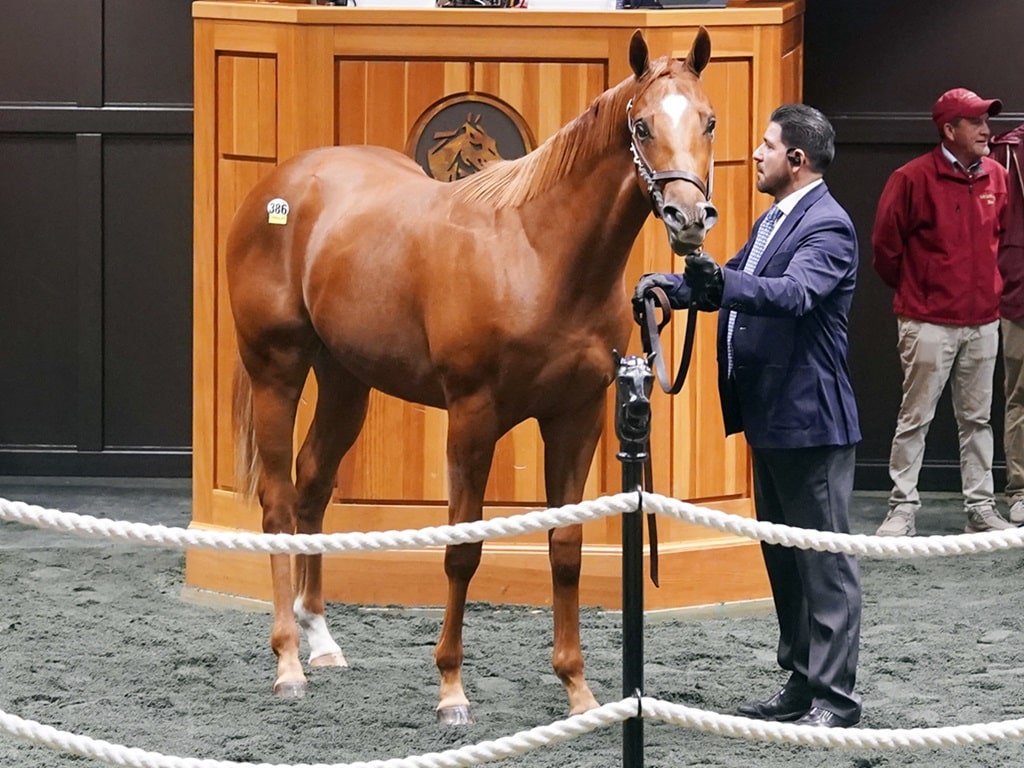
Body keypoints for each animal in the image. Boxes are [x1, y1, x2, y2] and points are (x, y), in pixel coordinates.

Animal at [228, 27, 716, 724]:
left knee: (312, 485)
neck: (538, 254)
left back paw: (320, 641)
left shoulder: (577, 417)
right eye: (642, 126)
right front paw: (451, 690)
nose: (688, 218)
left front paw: (577, 689)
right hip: (278, 369)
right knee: (276, 503)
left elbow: (566, 549)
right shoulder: (472, 418)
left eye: (708, 120)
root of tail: (281, 183)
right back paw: (289, 662)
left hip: (346, 379)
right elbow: (463, 551)